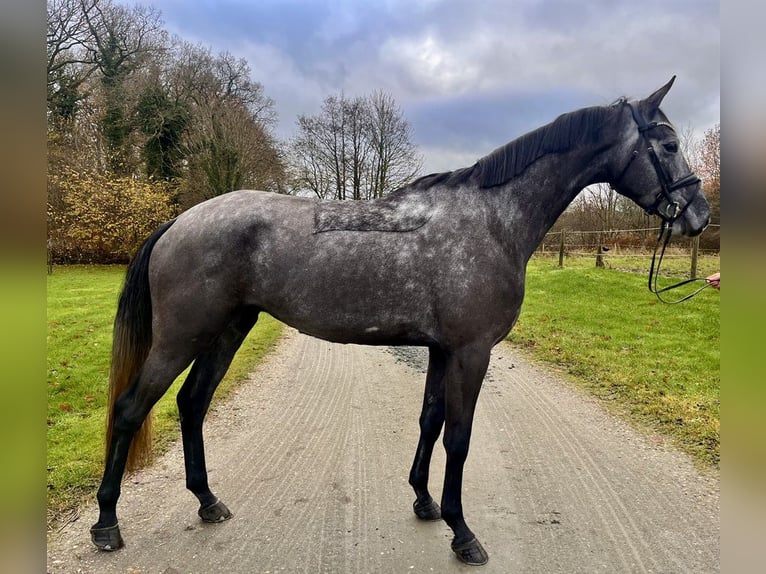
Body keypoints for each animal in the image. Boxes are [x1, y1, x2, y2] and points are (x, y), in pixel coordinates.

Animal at [91, 77, 712, 568]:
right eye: (669, 144)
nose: (700, 216)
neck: (491, 221)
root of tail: (180, 221)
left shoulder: (442, 349)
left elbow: (430, 422)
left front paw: (424, 502)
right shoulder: (471, 351)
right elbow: (459, 437)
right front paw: (463, 534)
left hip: (228, 329)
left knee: (192, 404)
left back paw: (207, 502)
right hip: (183, 336)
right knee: (130, 408)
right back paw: (106, 525)